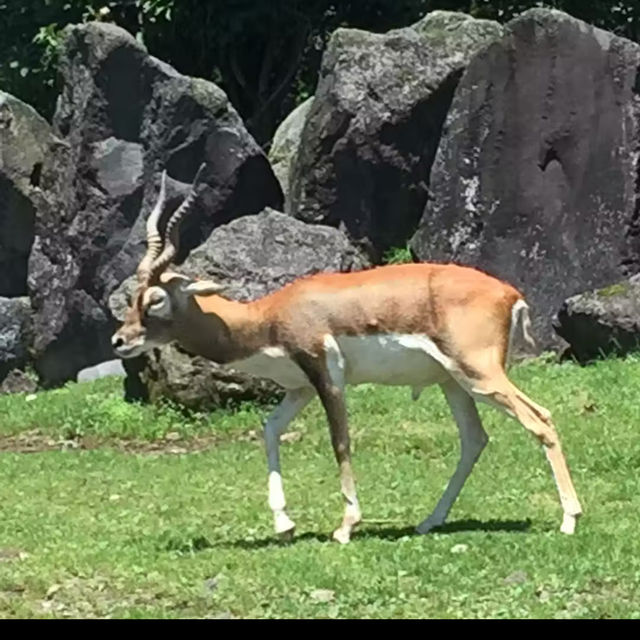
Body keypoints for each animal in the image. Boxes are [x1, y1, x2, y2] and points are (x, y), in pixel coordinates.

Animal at [112, 166, 584, 544]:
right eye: (133, 296)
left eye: (155, 299)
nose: (119, 341)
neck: (267, 317)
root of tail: (508, 292)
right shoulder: (299, 388)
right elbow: (270, 430)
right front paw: (284, 525)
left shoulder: (327, 376)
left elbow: (340, 441)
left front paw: (345, 526)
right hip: (453, 382)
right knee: (474, 439)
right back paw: (430, 521)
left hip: (480, 374)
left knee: (540, 418)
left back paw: (569, 519)